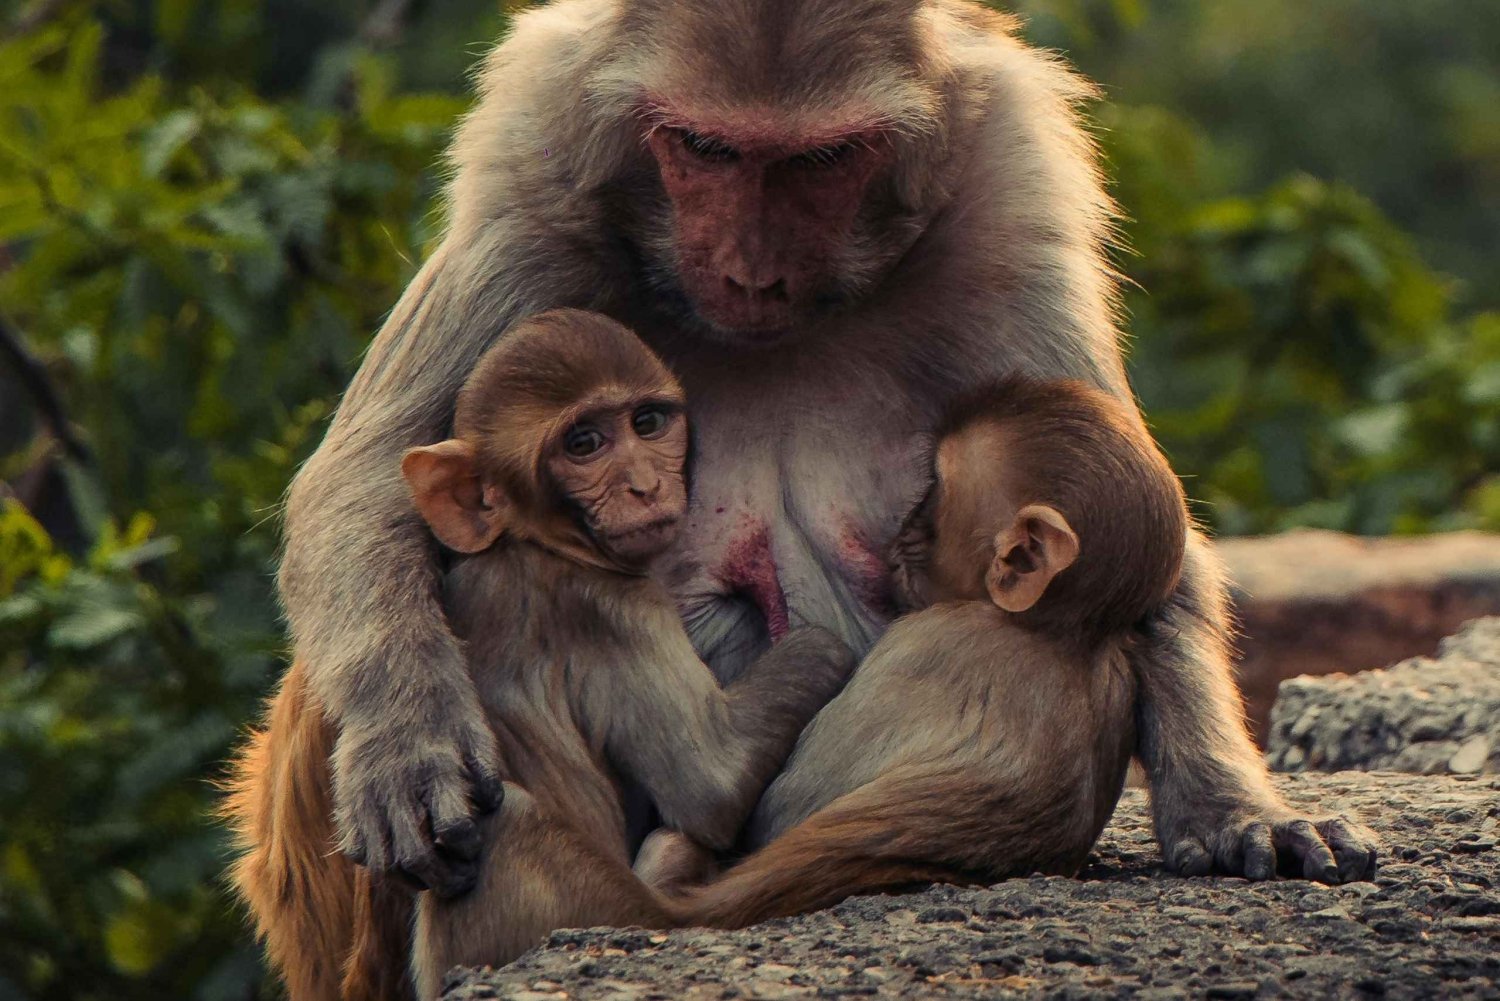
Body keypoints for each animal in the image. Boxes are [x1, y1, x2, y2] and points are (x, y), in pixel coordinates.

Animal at [386, 309, 855, 998]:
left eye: (648, 423)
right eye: (584, 444)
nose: (645, 485)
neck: (534, 544)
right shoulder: (615, 608)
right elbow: (712, 781)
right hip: (600, 902)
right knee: (515, 821)